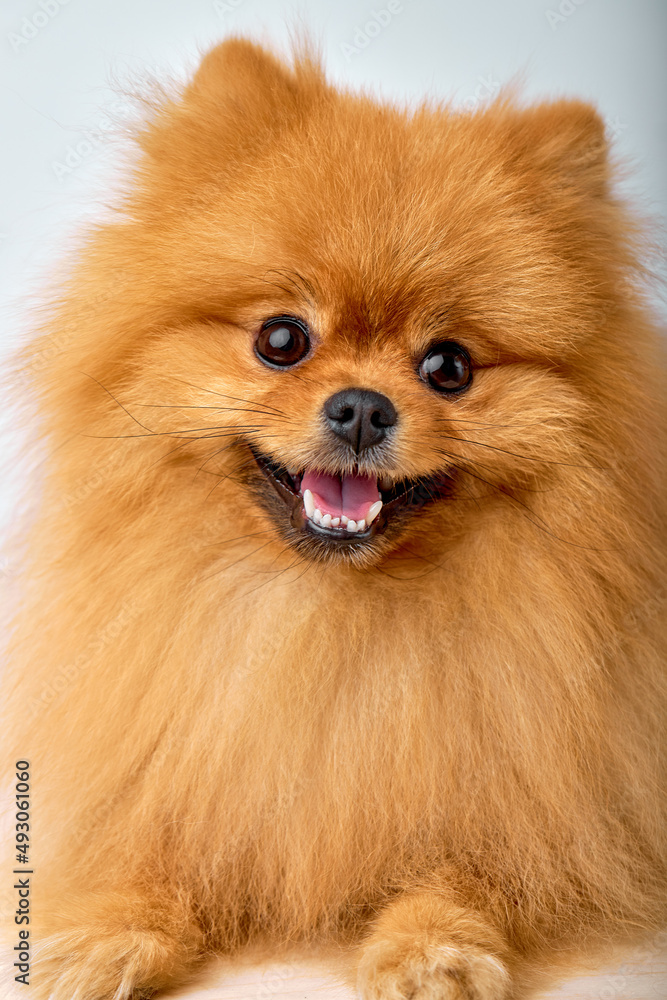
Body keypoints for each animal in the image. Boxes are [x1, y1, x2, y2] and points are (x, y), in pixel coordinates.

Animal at [2, 35, 664, 1000]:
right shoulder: (168, 753)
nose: (359, 408)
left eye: (448, 367)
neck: (327, 618)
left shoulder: (546, 803)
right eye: (281, 340)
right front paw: (105, 931)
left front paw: (432, 945)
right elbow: (154, 837)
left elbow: (476, 862)